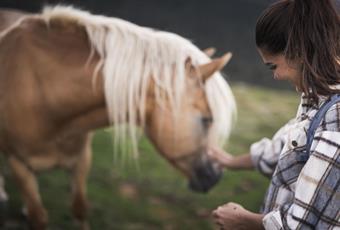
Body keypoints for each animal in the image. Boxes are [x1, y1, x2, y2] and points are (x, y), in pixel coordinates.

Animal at [0, 5, 236, 230]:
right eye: (207, 119)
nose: (216, 176)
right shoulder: (19, 165)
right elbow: (39, 218)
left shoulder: (81, 159)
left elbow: (80, 209)